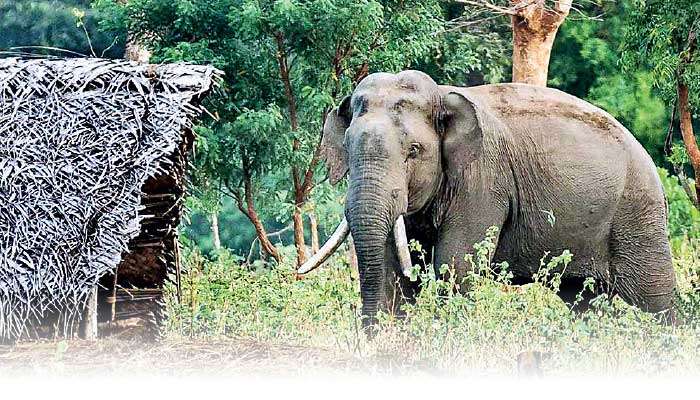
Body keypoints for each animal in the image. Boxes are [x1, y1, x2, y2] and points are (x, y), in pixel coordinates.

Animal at [299, 70, 677, 325]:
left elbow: (455, 265)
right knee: (582, 299)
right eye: (347, 147)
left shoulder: (483, 179)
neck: (442, 95)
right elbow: (394, 270)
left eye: (414, 151)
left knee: (655, 299)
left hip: (637, 213)